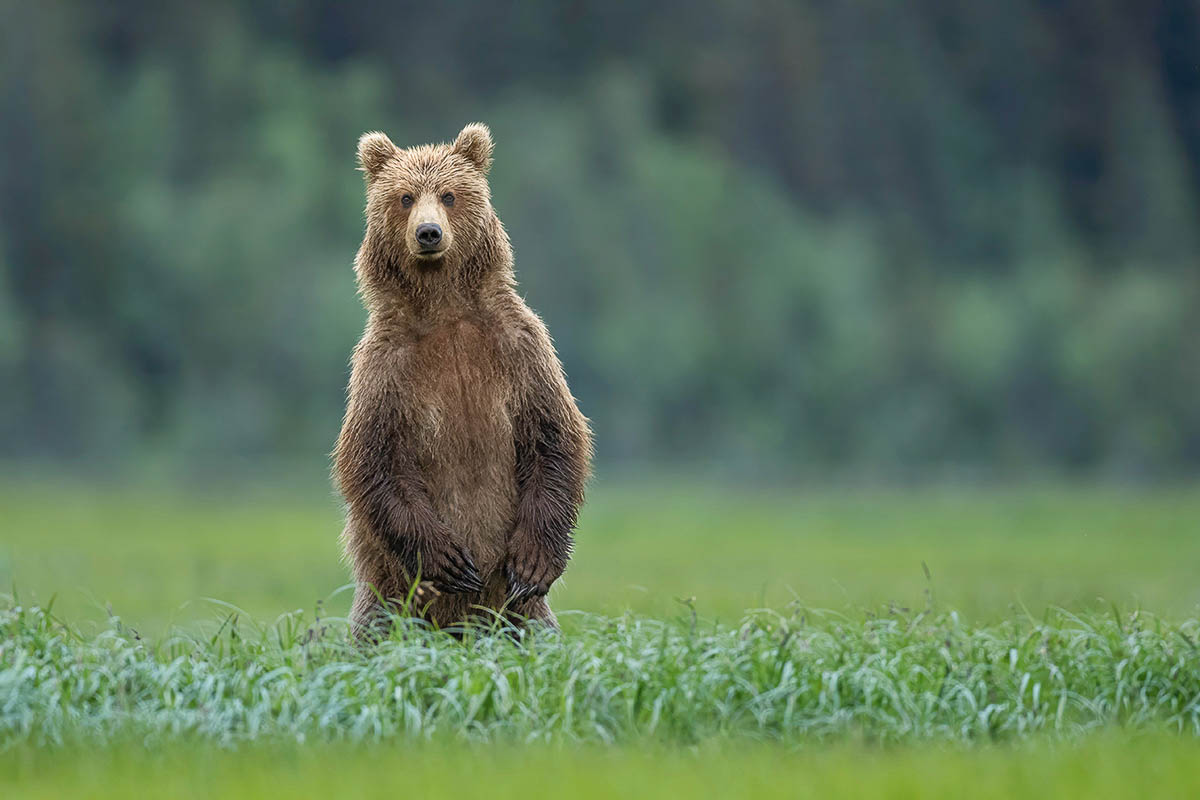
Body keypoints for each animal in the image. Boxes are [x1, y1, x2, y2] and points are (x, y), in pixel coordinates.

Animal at [333, 125, 595, 638]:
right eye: (405, 197)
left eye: (450, 195)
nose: (429, 233)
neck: (445, 310)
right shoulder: (386, 367)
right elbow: (373, 457)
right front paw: (449, 560)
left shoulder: (519, 348)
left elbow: (554, 434)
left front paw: (532, 563)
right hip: (390, 596)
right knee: (375, 632)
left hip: (520, 614)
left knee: (536, 632)